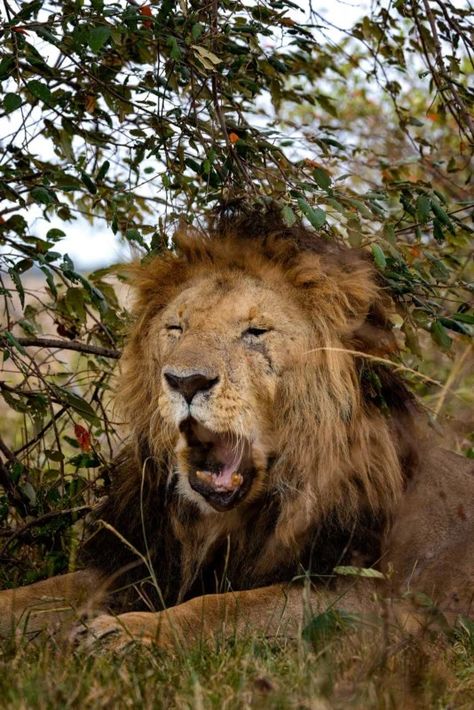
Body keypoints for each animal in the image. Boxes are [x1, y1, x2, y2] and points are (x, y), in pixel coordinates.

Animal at [0, 214, 474, 652]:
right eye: (176, 328)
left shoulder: (362, 600)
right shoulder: (136, 565)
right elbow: (37, 595)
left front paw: (128, 632)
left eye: (255, 332)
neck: (219, 521)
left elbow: (220, 607)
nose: (186, 381)